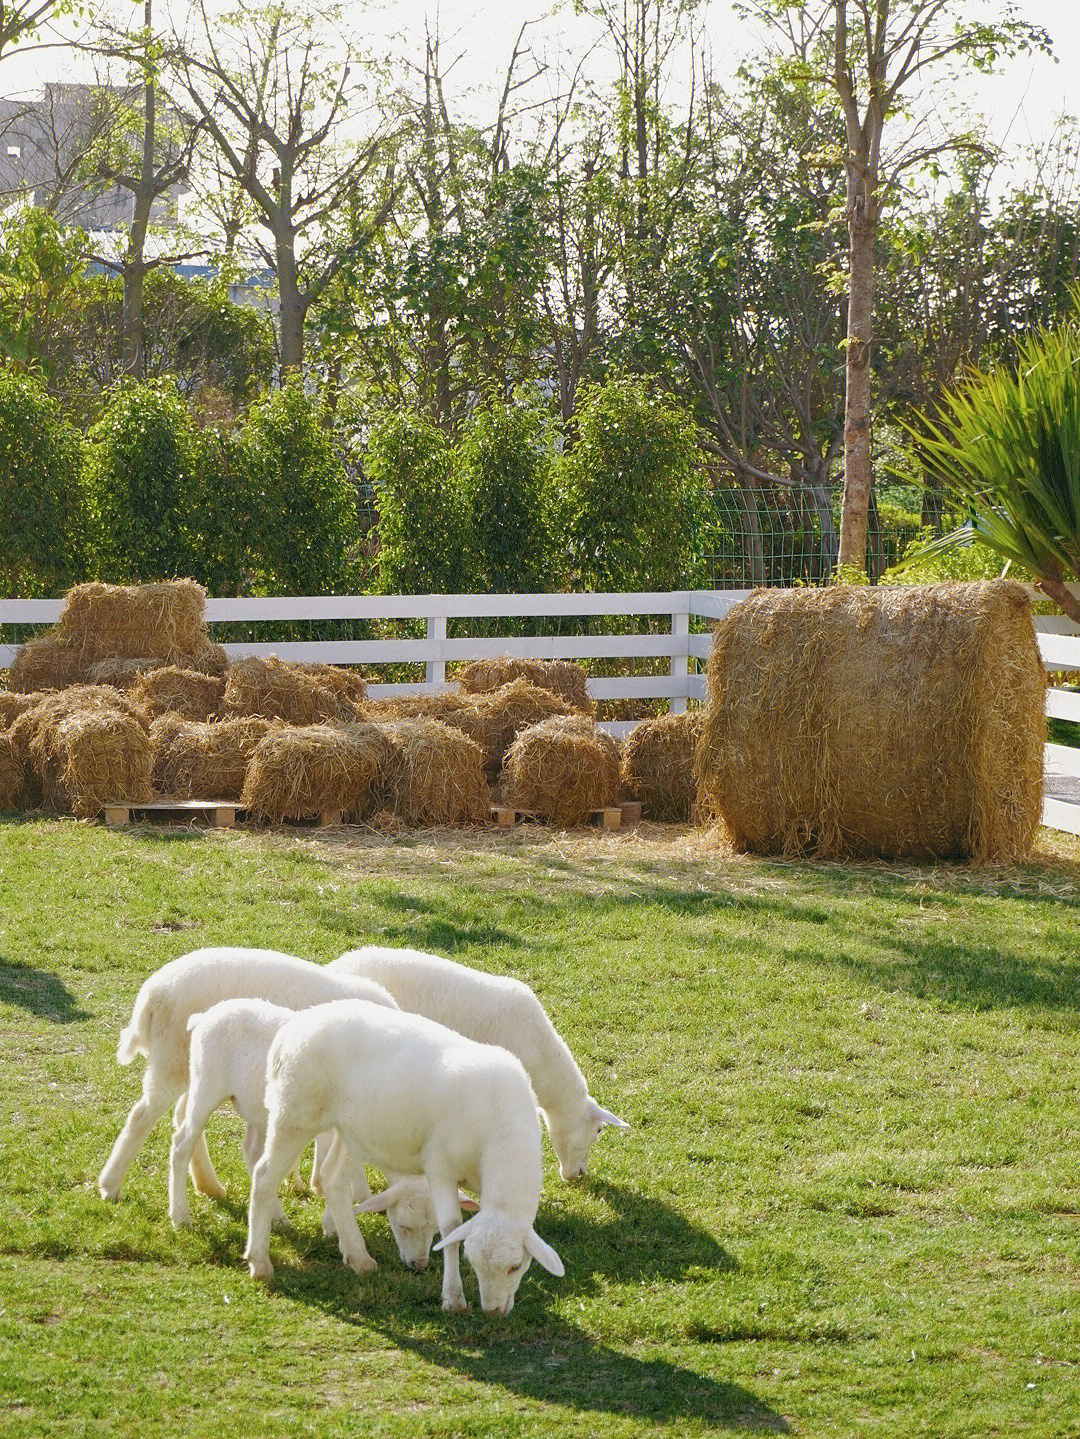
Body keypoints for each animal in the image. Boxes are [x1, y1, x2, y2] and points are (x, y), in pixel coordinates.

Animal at [98, 943, 396, 1203]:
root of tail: (152, 994)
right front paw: (353, 1192)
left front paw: (317, 1184)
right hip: (172, 1059)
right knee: (143, 1116)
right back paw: (110, 1184)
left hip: (195, 1067)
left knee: (183, 1117)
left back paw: (209, 1185)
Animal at [171, 1001, 460, 1272]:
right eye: (402, 1226)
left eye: (435, 1229)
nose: (418, 1265)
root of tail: (204, 1016)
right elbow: (331, 1176)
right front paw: (337, 1230)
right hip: (207, 1086)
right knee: (182, 1143)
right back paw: (180, 1216)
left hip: (257, 1110)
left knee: (253, 1155)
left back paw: (276, 1218)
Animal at [244, 1001, 566, 1318]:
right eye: (472, 1263)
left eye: (516, 1266)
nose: (493, 1312)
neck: (500, 1139)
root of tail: (289, 1030)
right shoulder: (440, 1167)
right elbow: (451, 1226)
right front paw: (453, 1298)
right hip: (294, 1115)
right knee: (264, 1176)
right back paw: (260, 1262)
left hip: (350, 1131)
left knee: (332, 1180)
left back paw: (359, 1257)